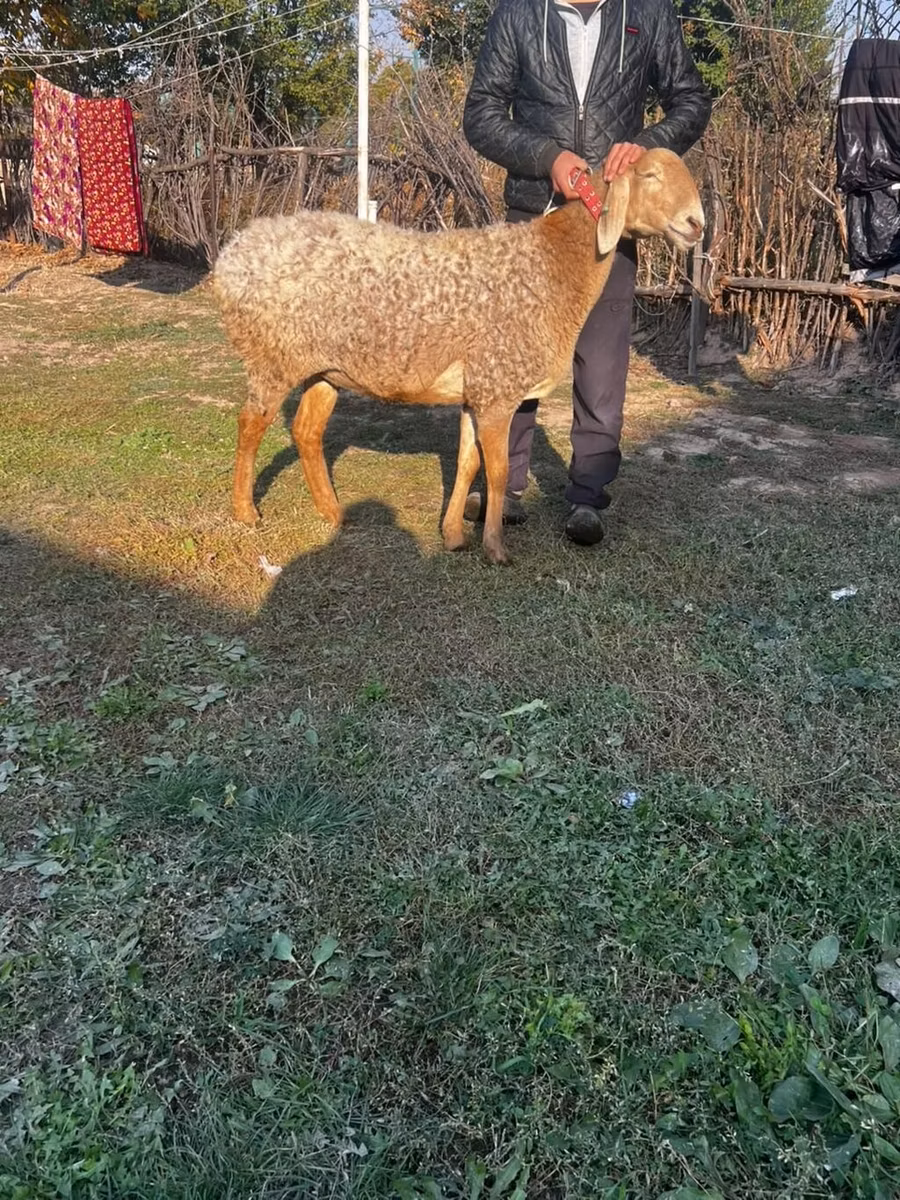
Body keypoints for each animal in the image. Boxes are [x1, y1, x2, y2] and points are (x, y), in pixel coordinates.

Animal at [212, 146, 704, 564]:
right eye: (649, 175)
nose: (696, 224)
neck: (552, 265)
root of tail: (231, 254)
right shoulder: (498, 389)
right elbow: (499, 471)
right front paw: (496, 548)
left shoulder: (478, 391)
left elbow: (468, 463)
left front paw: (452, 536)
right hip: (274, 356)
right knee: (251, 422)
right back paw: (245, 511)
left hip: (325, 368)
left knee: (306, 431)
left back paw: (332, 513)